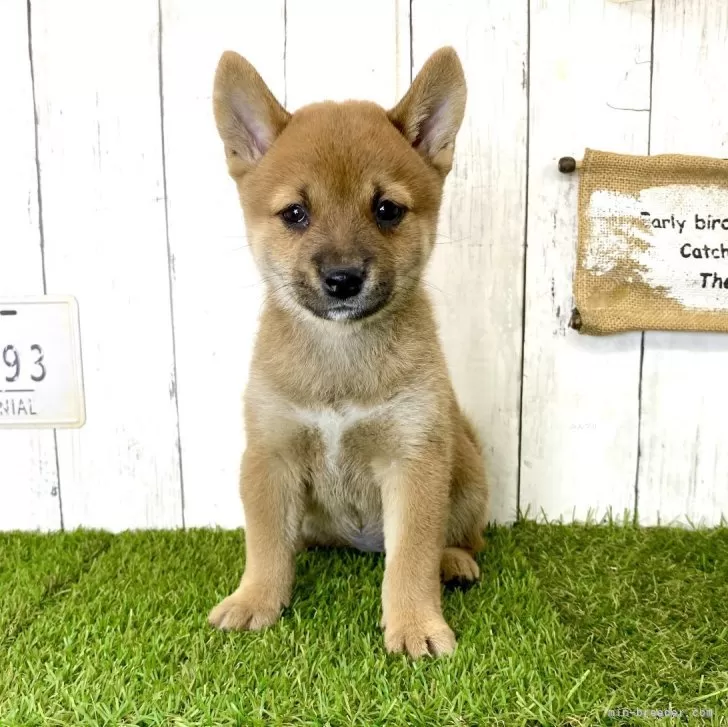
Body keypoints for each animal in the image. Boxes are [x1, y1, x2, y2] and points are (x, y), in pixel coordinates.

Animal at [208, 47, 486, 660]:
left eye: (386, 210)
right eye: (295, 213)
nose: (342, 279)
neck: (340, 358)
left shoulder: (414, 460)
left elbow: (411, 557)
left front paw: (415, 624)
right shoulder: (271, 455)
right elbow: (265, 542)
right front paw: (255, 598)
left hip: (468, 471)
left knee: (462, 537)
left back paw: (454, 561)